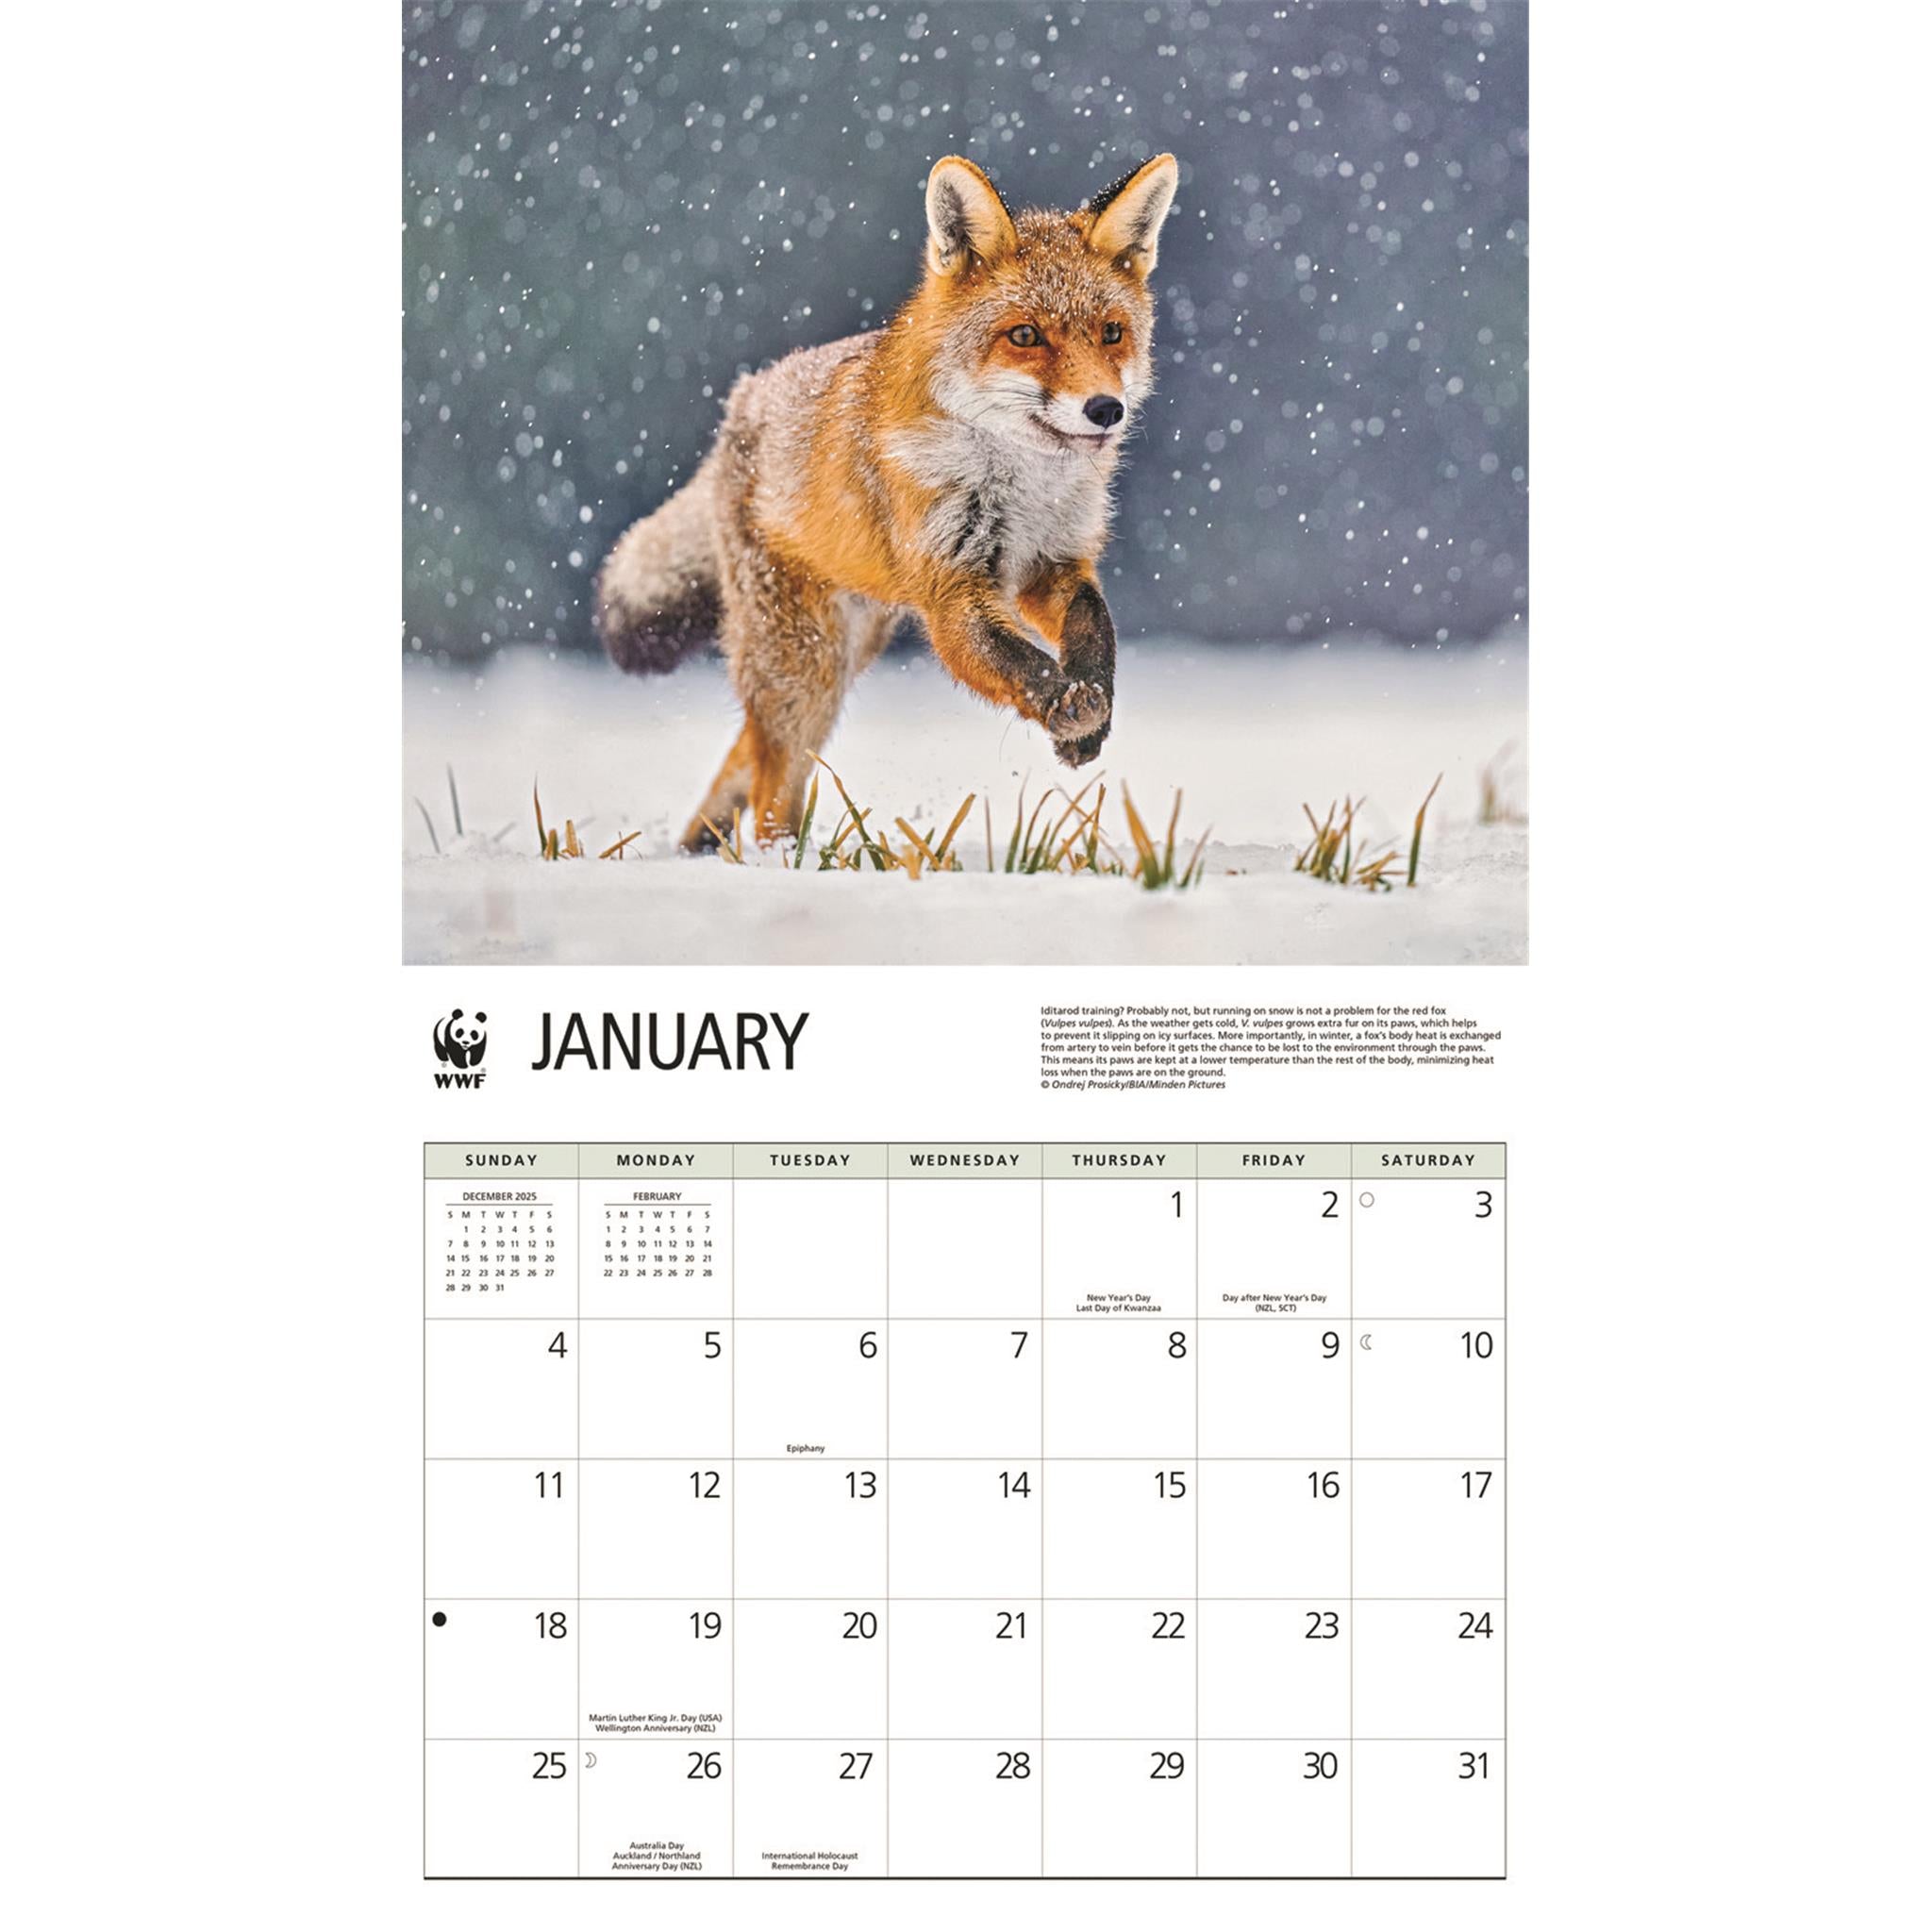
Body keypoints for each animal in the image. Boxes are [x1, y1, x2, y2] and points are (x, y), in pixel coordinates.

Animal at [593, 151, 1182, 851]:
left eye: (1113, 333)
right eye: (1026, 336)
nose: (1105, 409)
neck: (1022, 486)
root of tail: (742, 403)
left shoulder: (1055, 563)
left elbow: (1097, 632)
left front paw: (1093, 710)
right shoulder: (952, 591)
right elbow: (1018, 662)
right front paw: (1065, 708)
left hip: (842, 653)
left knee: (748, 758)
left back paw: (699, 848)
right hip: (802, 663)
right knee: (771, 786)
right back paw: (777, 860)